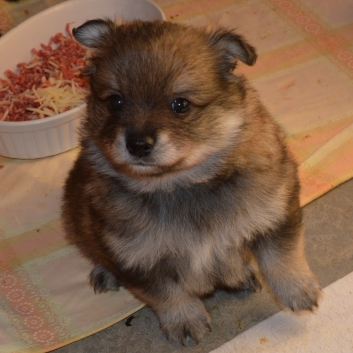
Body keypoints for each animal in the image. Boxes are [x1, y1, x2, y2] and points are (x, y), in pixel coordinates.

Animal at [62, 18, 320, 344]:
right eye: (115, 101)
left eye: (180, 104)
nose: (138, 144)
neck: (182, 184)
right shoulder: (136, 255)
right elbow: (167, 293)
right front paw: (185, 319)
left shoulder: (276, 208)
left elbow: (283, 255)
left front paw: (298, 290)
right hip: (77, 220)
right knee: (92, 248)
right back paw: (104, 272)